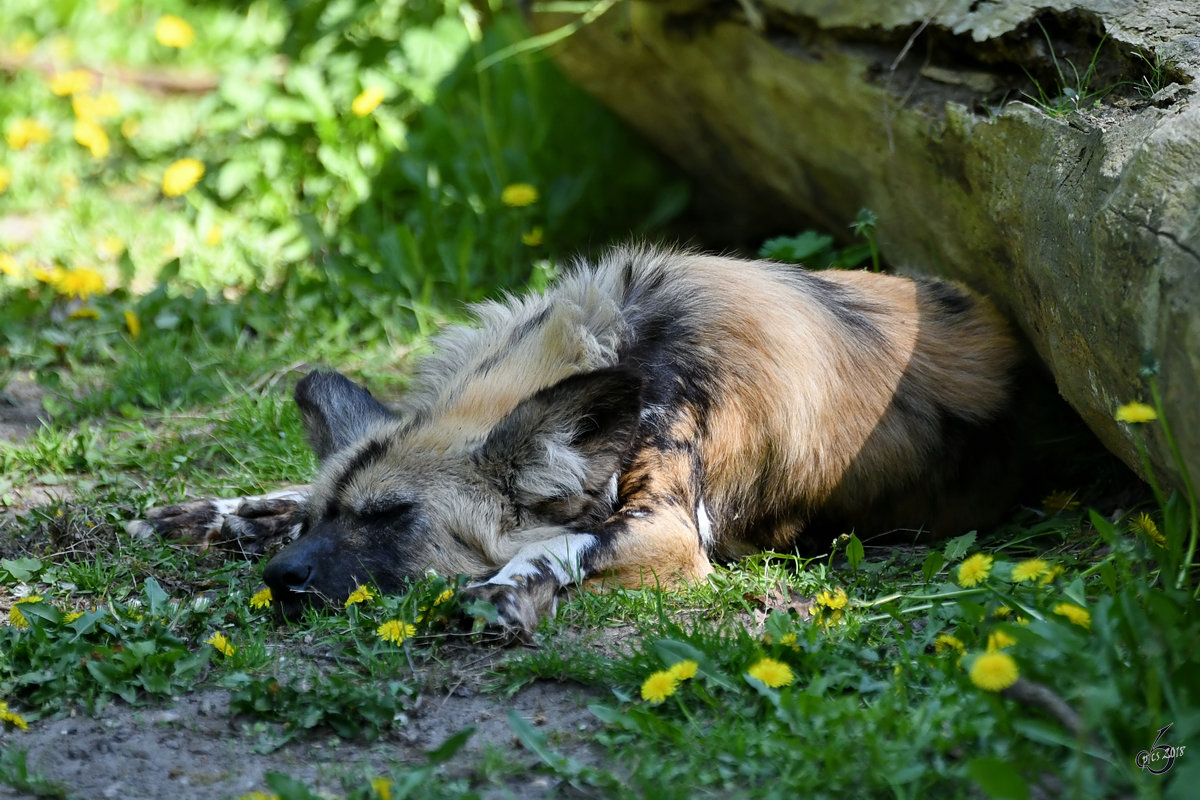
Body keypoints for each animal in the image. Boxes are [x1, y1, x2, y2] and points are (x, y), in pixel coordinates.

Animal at [131, 247, 1017, 633]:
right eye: (323, 519)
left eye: (391, 518)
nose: (279, 578)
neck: (622, 345)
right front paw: (220, 514)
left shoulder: (667, 529)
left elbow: (561, 543)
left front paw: (497, 592)